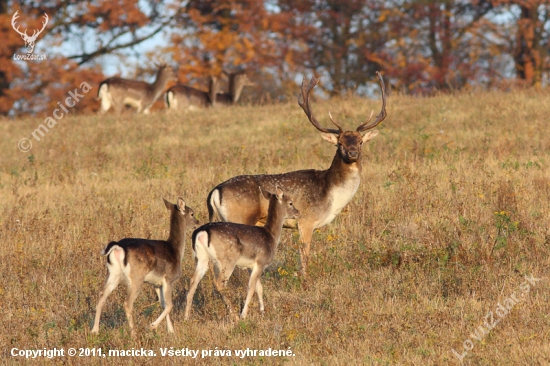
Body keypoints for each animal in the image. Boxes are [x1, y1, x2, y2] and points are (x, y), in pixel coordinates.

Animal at [91, 197, 199, 334]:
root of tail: (118, 247)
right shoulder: (169, 279)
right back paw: (133, 333)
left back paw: (94, 330)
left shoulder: (156, 284)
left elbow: (163, 304)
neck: (177, 251)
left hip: (112, 273)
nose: (198, 222)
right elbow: (170, 305)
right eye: (192, 213)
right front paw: (152, 326)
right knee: (127, 303)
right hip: (136, 277)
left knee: (101, 297)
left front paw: (171, 331)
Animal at [185, 186, 300, 320]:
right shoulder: (261, 262)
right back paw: (234, 314)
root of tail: (202, 232)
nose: (298, 212)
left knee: (193, 281)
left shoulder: (251, 266)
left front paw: (262, 311)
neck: (271, 236)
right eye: (290, 202)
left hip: (201, 258)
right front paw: (244, 314)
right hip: (228, 260)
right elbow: (251, 287)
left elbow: (259, 287)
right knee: (219, 284)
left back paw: (186, 317)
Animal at [207, 72, 388, 278]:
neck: (331, 195)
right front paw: (304, 279)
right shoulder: (306, 220)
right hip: (240, 218)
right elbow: (305, 255)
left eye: (360, 142)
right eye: (339, 143)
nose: (352, 153)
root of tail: (216, 191)